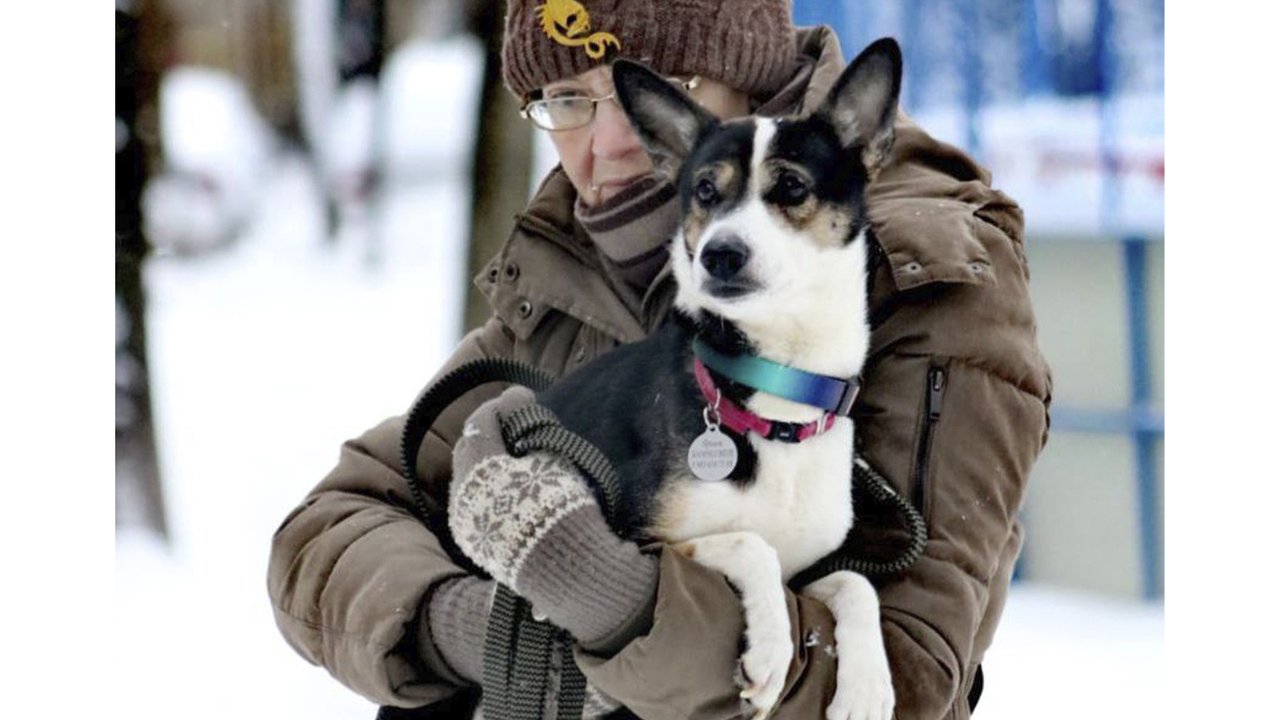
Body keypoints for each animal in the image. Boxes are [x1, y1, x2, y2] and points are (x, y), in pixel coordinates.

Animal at [524, 37, 906, 717]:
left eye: (791, 186)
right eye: (704, 190)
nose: (720, 254)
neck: (779, 393)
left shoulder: (806, 570)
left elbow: (857, 583)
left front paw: (867, 688)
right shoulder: (642, 544)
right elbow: (750, 543)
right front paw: (771, 652)